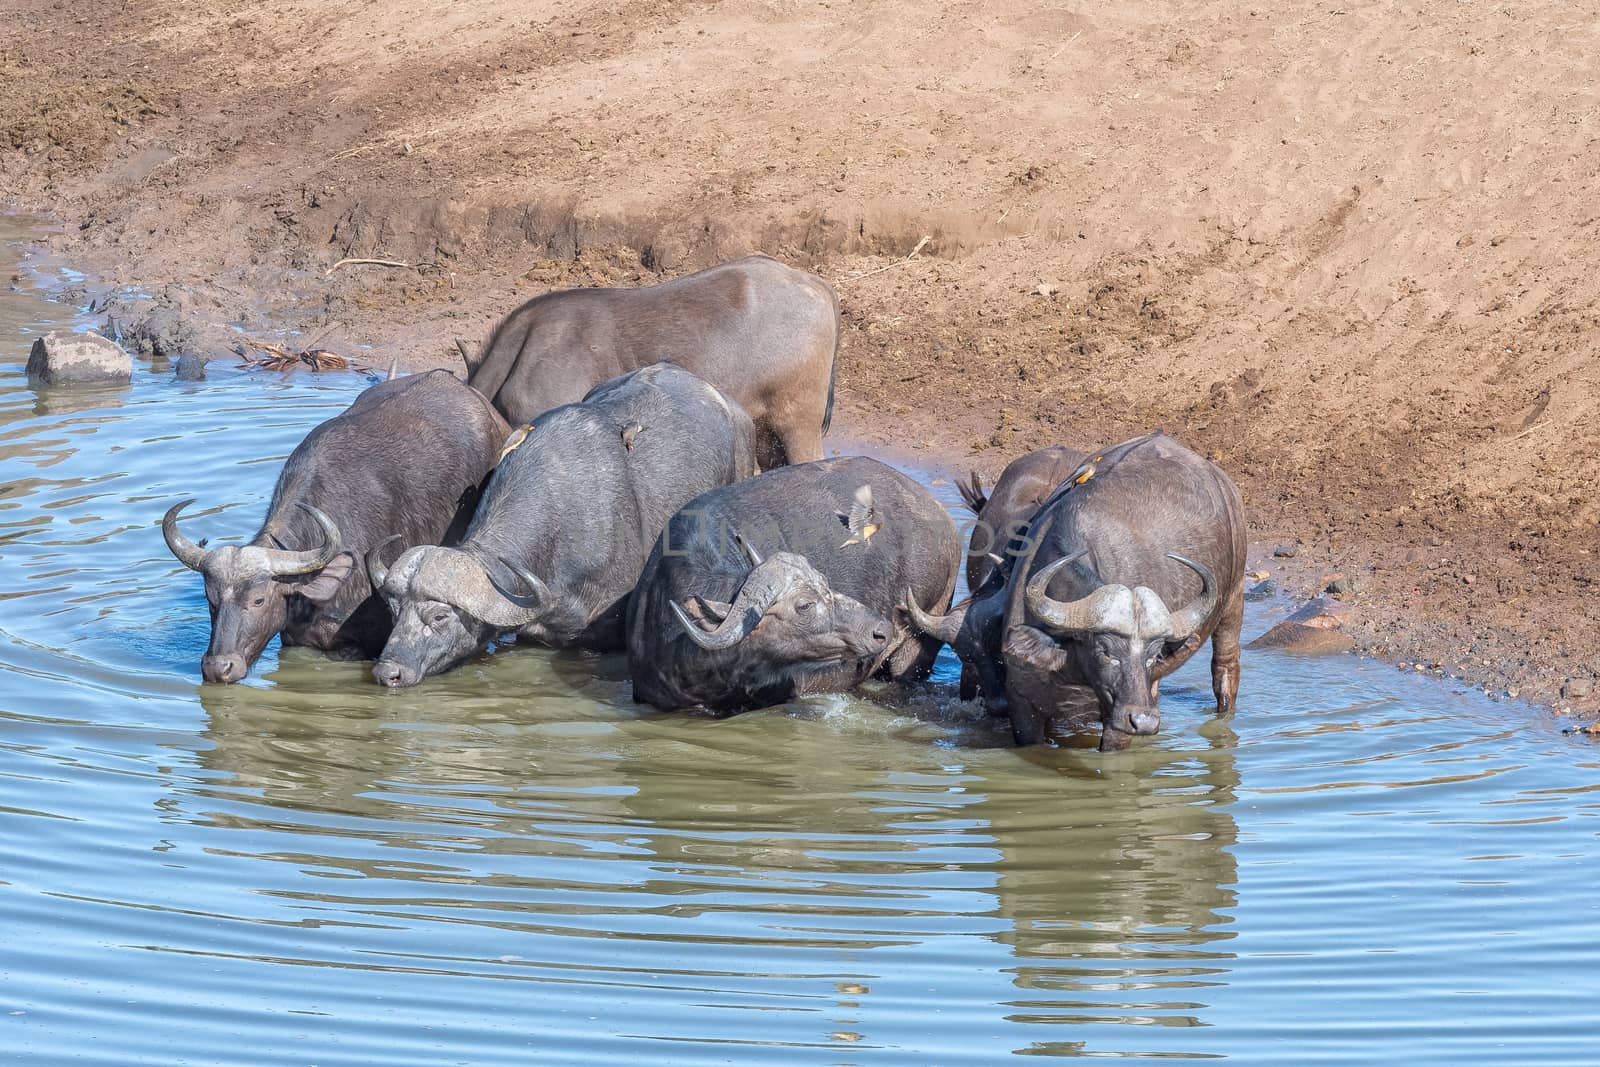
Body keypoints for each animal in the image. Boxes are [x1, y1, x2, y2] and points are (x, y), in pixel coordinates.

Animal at [908, 431, 1241, 751]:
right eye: (1105, 651)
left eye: (1155, 654)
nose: (1144, 721)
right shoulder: (1024, 704)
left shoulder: (1117, 716)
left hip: (1233, 602)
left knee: (1225, 669)